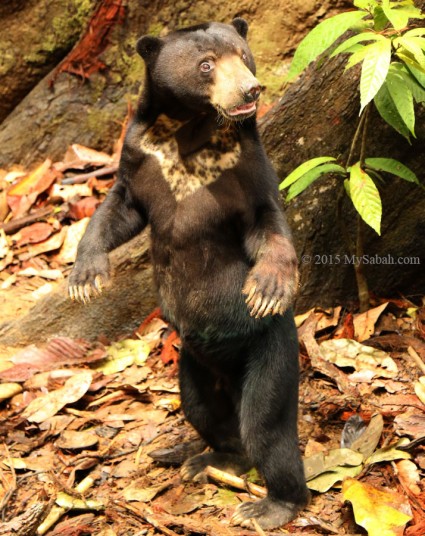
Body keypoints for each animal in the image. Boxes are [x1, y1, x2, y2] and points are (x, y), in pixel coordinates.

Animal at [68, 17, 308, 532]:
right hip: (192, 367)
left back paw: (270, 504)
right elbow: (117, 212)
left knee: (266, 428)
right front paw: (85, 279)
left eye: (243, 54)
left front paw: (267, 288)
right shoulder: (138, 157)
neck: (189, 130)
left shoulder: (246, 167)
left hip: (271, 351)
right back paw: (206, 458)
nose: (251, 89)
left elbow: (267, 222)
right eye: (206, 64)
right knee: (207, 413)